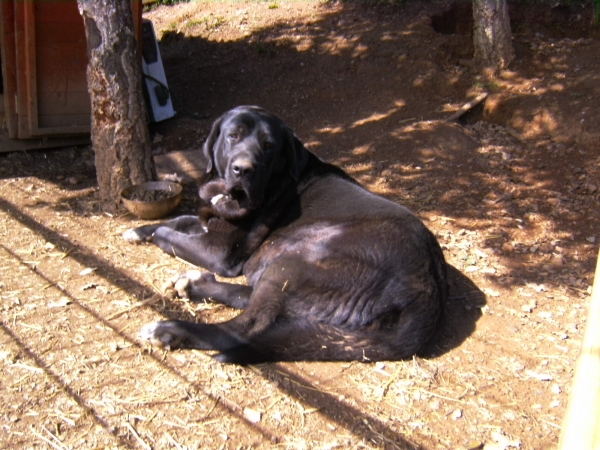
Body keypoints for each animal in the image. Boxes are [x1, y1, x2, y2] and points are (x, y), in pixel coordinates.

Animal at [124, 106, 448, 366]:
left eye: (268, 146)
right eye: (232, 136)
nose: (243, 170)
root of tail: (428, 289)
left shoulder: (219, 251)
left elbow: (167, 234)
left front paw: (152, 233)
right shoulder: (210, 222)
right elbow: (181, 219)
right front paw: (138, 230)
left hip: (297, 262)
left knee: (248, 324)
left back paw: (171, 329)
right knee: (254, 298)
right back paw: (195, 286)